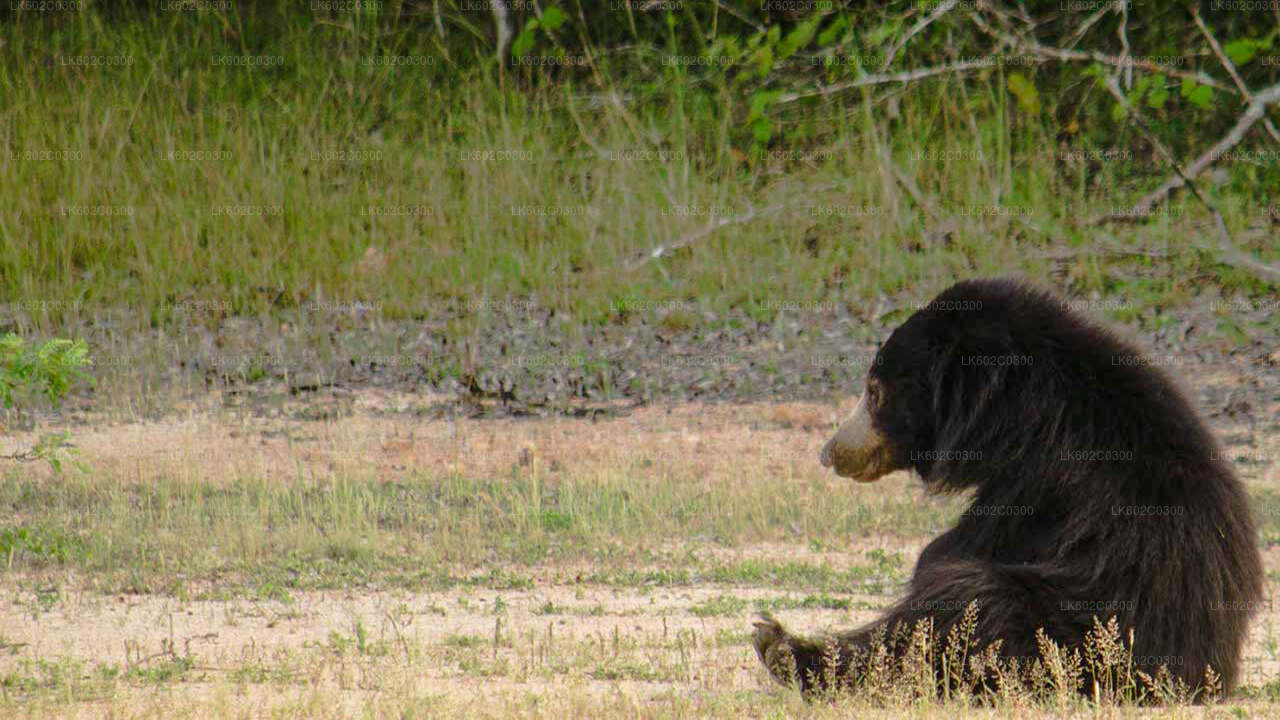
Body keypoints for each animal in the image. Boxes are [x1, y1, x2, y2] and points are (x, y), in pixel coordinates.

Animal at [752, 278, 1264, 696]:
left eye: (875, 392)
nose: (830, 451)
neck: (1015, 414)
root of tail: (1202, 672)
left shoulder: (1041, 481)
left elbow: (951, 553)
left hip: (1072, 632)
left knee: (968, 604)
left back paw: (781, 647)